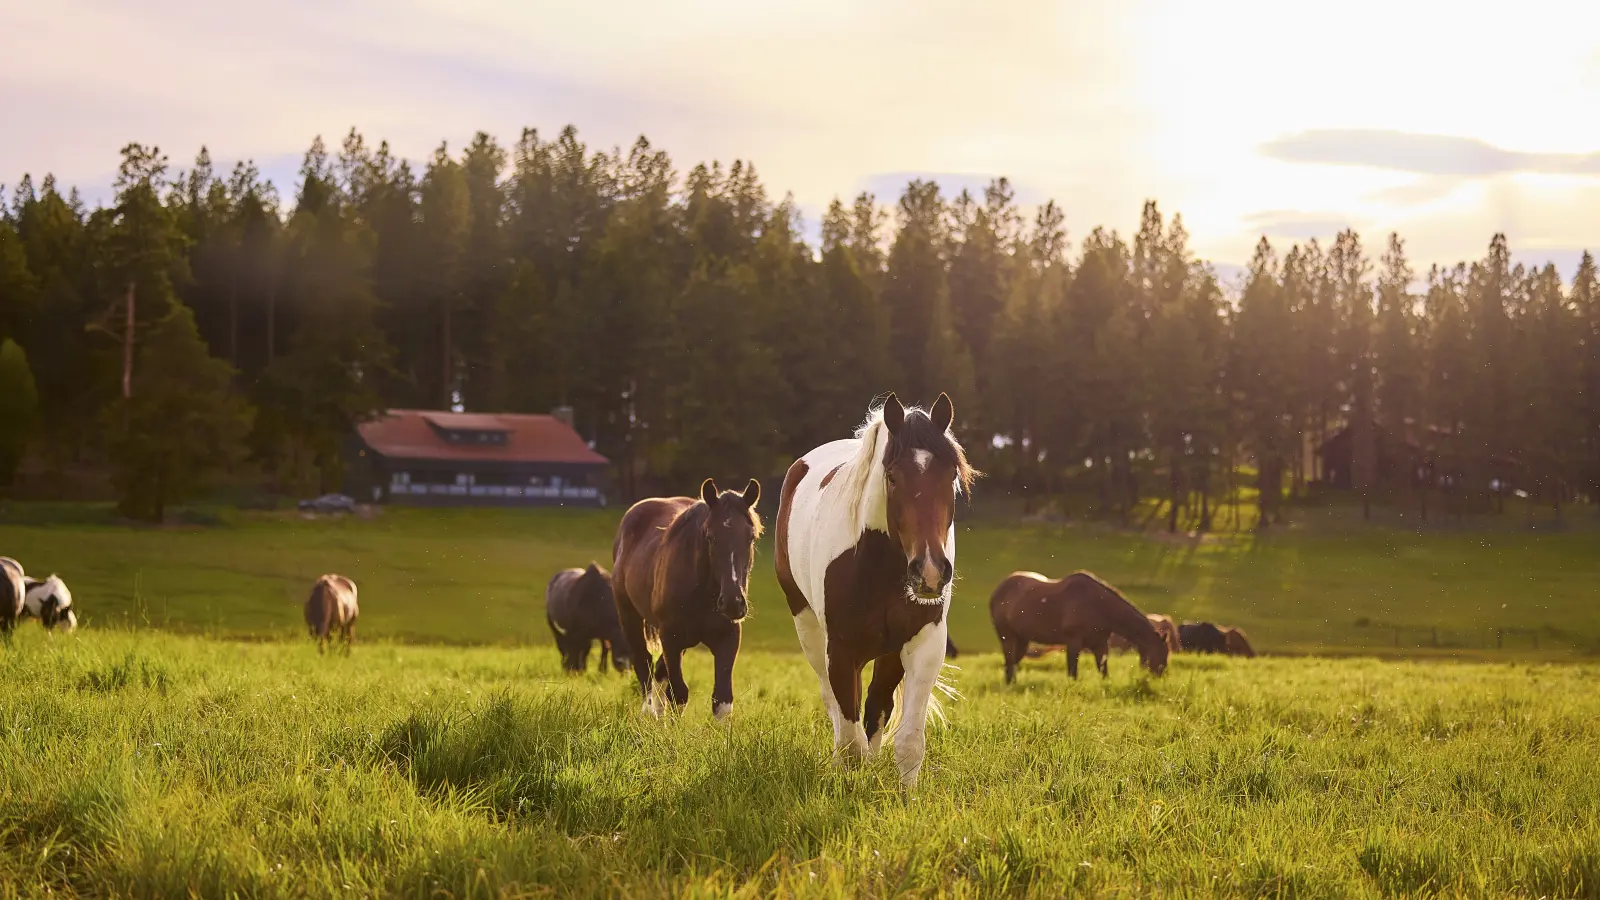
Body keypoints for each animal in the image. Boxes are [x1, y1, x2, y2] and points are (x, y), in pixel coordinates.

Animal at [613, 478, 761, 719]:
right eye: (710, 537)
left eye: (751, 537)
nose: (733, 603)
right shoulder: (671, 637)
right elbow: (678, 694)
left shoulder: (728, 637)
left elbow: (722, 700)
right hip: (629, 616)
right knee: (644, 662)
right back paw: (649, 711)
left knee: (658, 670)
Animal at [774, 392, 975, 789]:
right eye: (893, 476)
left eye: (951, 476)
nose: (931, 572)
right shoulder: (841, 651)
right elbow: (851, 744)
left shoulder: (922, 644)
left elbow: (908, 740)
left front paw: (907, 796)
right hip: (808, 629)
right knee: (835, 705)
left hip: (888, 654)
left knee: (877, 705)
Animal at [991, 570, 1170, 683]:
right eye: (1161, 653)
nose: (1160, 677)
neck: (1098, 606)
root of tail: (998, 589)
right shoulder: (1073, 642)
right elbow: (1072, 671)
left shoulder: (1101, 644)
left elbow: (1103, 670)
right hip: (1007, 637)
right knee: (1009, 661)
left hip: (1022, 639)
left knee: (1012, 663)